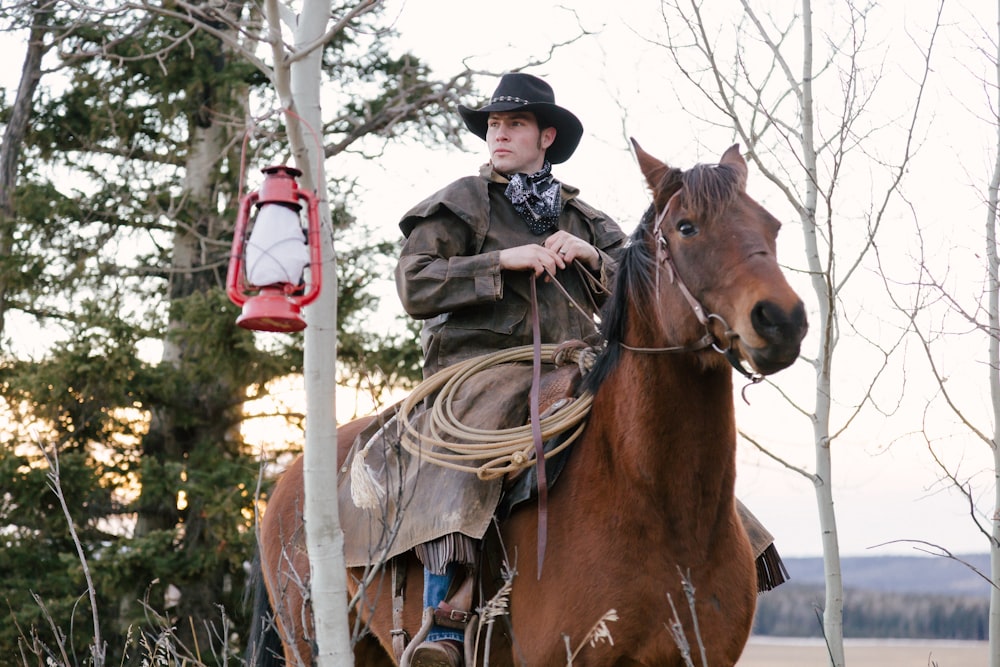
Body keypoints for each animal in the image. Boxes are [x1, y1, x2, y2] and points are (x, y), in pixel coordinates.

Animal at [246, 142, 808, 667]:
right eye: (687, 227)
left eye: (772, 224)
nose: (782, 319)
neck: (660, 505)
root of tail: (287, 481)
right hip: (311, 641)